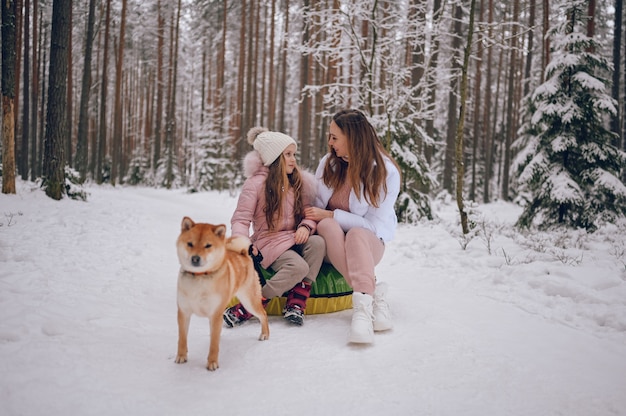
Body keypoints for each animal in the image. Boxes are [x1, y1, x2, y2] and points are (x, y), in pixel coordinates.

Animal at [173, 218, 268, 370]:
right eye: (190, 244)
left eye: (208, 246)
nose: (195, 259)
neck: (200, 278)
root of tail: (244, 253)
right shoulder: (184, 312)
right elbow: (182, 338)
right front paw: (181, 356)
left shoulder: (215, 314)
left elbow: (214, 344)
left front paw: (212, 362)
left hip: (249, 301)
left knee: (263, 314)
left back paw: (265, 334)